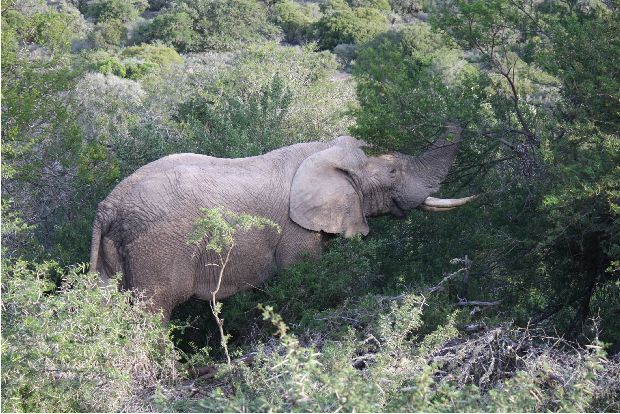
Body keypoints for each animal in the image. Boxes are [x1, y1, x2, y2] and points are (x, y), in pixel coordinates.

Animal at [89, 126, 474, 320]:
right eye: (392, 172)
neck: (324, 152)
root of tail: (107, 207)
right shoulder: (295, 229)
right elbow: (302, 275)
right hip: (159, 246)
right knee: (154, 310)